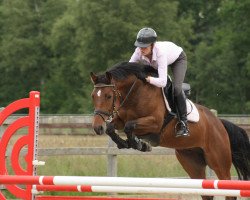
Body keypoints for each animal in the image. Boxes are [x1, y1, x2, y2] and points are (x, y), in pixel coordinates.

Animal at [90, 61, 250, 199]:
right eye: (93, 96)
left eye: (108, 96)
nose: (97, 127)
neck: (136, 93)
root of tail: (219, 123)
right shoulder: (120, 120)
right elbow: (112, 128)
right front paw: (126, 143)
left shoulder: (154, 123)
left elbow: (130, 126)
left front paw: (139, 144)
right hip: (192, 162)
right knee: (206, 192)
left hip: (219, 161)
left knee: (228, 189)